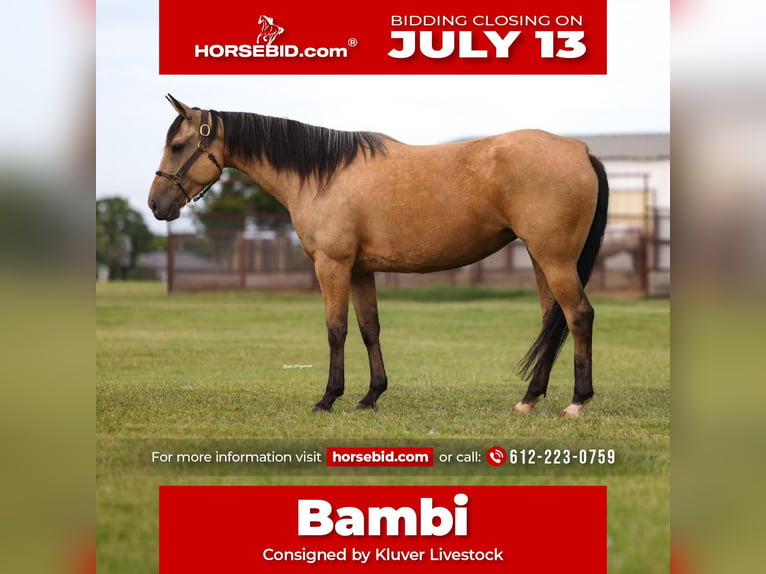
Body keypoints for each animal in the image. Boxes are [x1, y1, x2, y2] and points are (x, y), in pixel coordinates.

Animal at [149, 95, 609, 417]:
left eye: (179, 145)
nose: (156, 204)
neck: (322, 175)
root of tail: (580, 150)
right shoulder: (359, 271)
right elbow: (370, 328)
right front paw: (371, 396)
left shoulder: (331, 265)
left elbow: (336, 330)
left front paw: (328, 398)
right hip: (541, 260)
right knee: (552, 321)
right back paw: (529, 399)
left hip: (555, 260)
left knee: (579, 316)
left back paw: (576, 402)